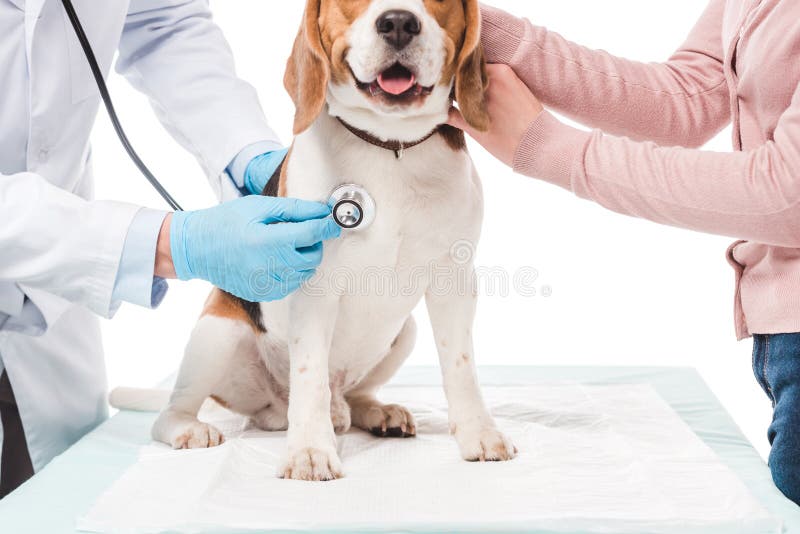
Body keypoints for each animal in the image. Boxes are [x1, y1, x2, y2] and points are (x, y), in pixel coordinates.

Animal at [154, 0, 520, 482]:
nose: (398, 22)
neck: (389, 146)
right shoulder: (314, 283)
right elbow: (310, 373)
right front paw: (310, 451)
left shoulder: (453, 279)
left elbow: (461, 367)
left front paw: (479, 432)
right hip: (219, 332)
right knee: (178, 410)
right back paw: (189, 427)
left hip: (404, 331)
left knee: (350, 393)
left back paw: (375, 412)